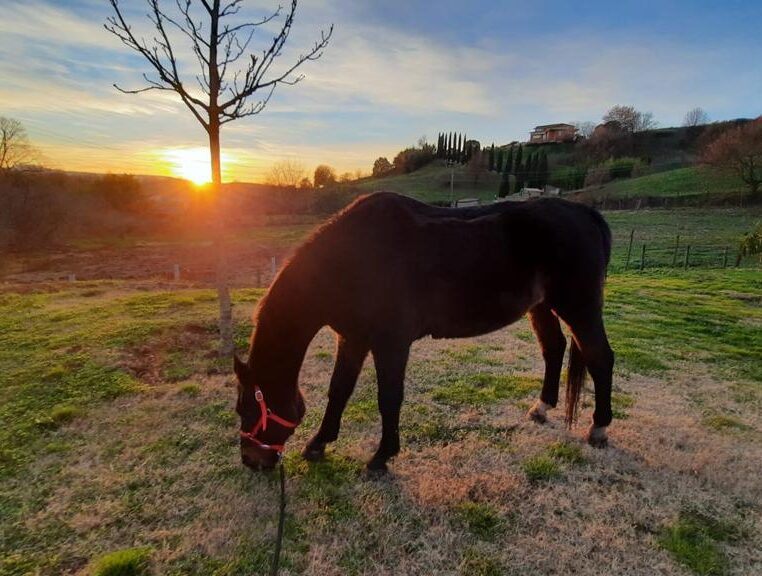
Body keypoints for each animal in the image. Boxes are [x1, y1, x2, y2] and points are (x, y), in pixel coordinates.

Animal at [232, 191, 612, 470]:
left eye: (246, 410)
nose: (252, 461)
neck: (353, 259)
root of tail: (585, 213)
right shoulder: (353, 338)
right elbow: (339, 390)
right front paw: (319, 443)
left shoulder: (391, 343)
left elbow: (389, 398)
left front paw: (382, 456)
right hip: (542, 307)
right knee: (554, 347)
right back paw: (541, 408)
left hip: (579, 307)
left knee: (600, 358)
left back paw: (599, 428)